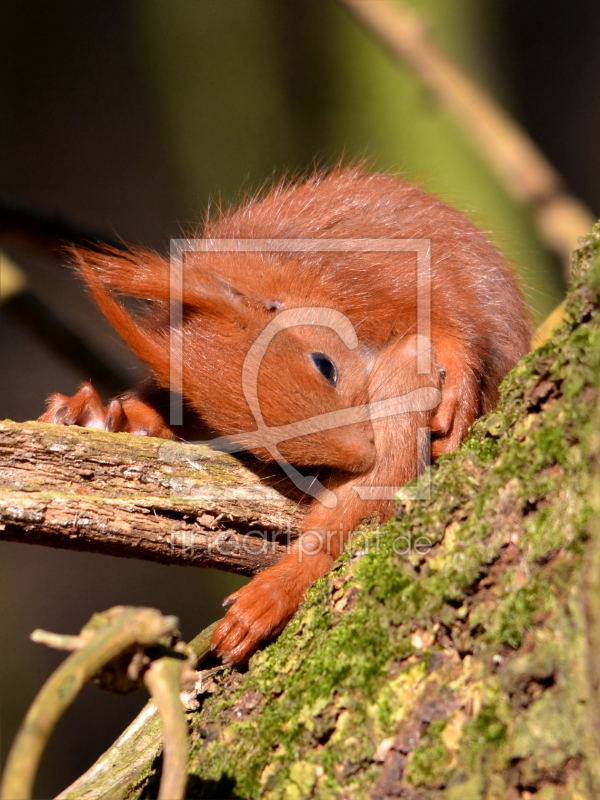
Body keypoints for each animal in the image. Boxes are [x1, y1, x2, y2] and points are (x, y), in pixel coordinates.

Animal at [37, 167, 528, 664]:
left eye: (325, 365)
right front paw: (113, 415)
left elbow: (455, 314)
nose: (361, 456)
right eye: (257, 448)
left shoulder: (385, 271)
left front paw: (458, 383)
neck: (297, 280)